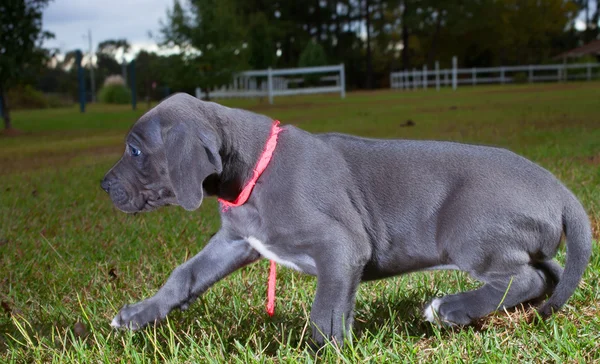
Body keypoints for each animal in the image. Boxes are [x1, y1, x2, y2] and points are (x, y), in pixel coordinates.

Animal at [102, 92, 592, 346]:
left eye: (136, 151)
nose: (104, 186)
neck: (256, 165)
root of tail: (560, 190)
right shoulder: (237, 240)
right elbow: (184, 274)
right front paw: (140, 314)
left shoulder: (342, 247)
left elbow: (325, 312)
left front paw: (322, 351)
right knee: (546, 276)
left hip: (469, 231)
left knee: (523, 278)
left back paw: (451, 309)